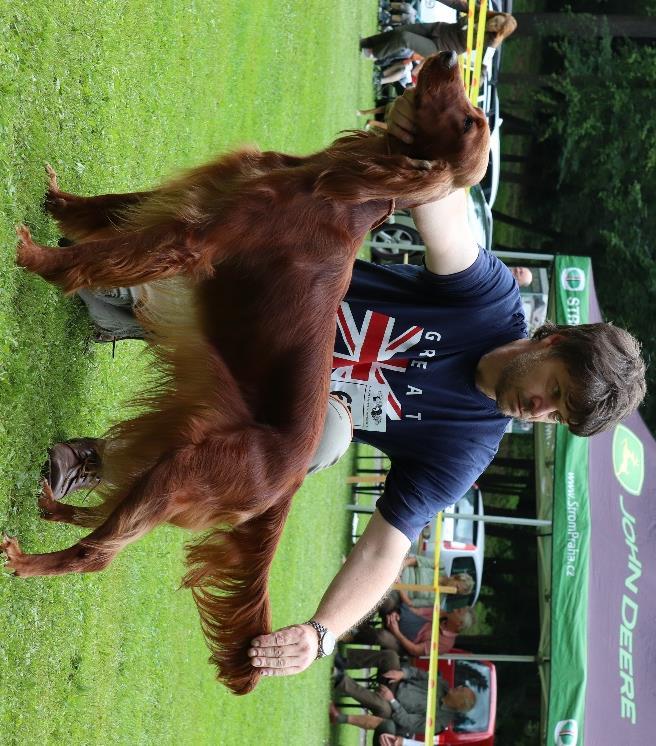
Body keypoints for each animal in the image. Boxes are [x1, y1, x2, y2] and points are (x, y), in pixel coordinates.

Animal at [3, 50, 486, 692]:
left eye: (467, 123)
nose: (452, 54)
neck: (333, 187)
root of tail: (292, 481)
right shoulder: (202, 195)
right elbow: (109, 207)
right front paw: (57, 203)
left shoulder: (192, 238)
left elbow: (95, 255)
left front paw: (35, 256)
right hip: (175, 444)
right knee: (109, 509)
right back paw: (56, 504)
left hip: (182, 470)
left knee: (100, 552)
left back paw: (29, 559)